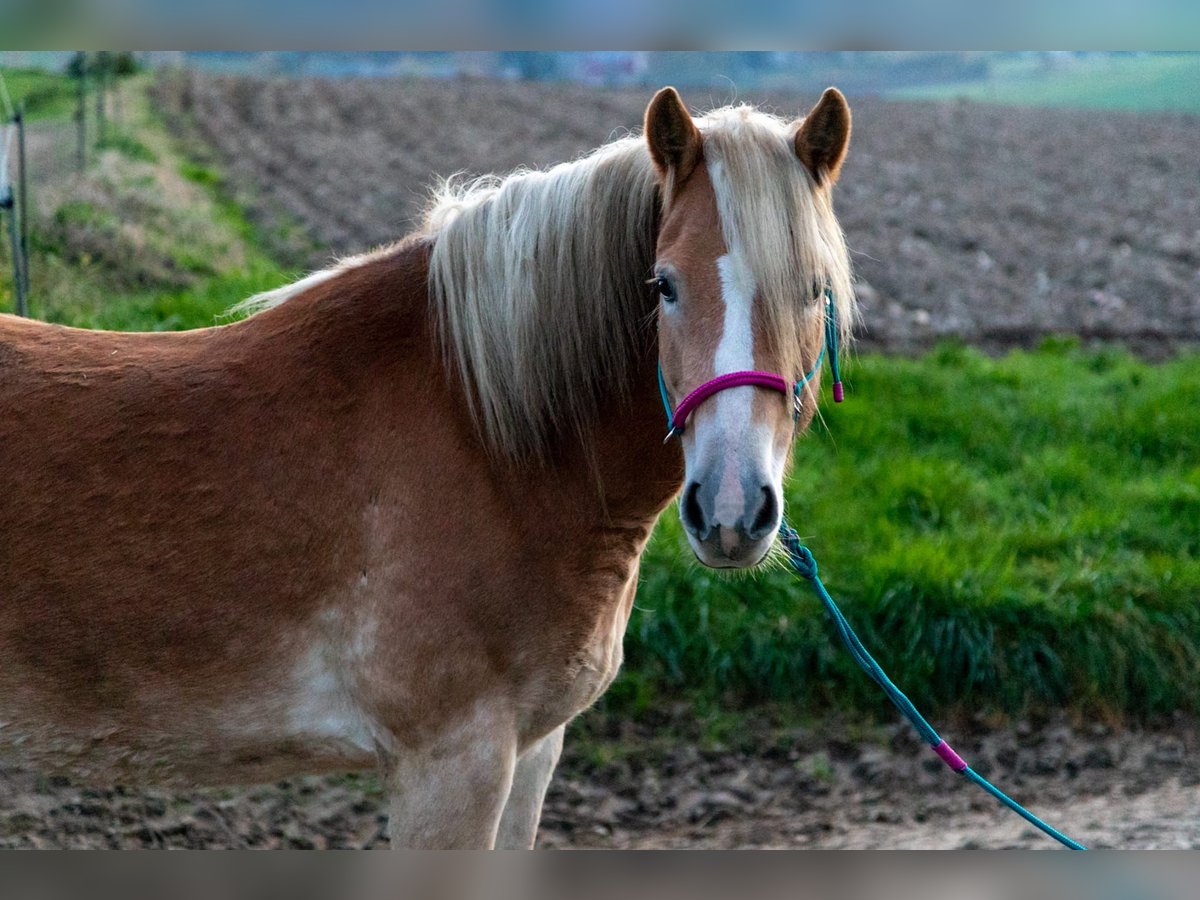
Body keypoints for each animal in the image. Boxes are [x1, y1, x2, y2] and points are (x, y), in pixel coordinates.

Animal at [2, 88, 864, 849]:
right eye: (664, 286)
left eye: (815, 290)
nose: (730, 510)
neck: (491, 438)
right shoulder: (452, 766)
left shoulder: (531, 753)